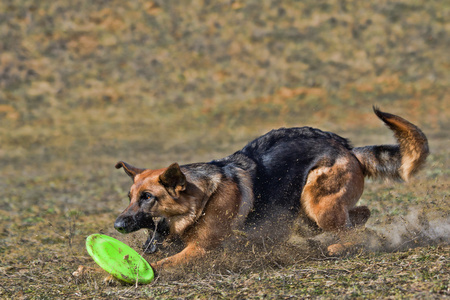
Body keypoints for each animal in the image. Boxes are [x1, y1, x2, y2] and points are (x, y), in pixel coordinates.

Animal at [113, 107, 428, 270]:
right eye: (130, 197)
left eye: (148, 197)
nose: (116, 225)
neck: (200, 200)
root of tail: (348, 148)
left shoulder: (200, 249)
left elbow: (161, 265)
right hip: (306, 214)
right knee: (362, 214)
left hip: (317, 204)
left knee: (352, 230)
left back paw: (338, 247)